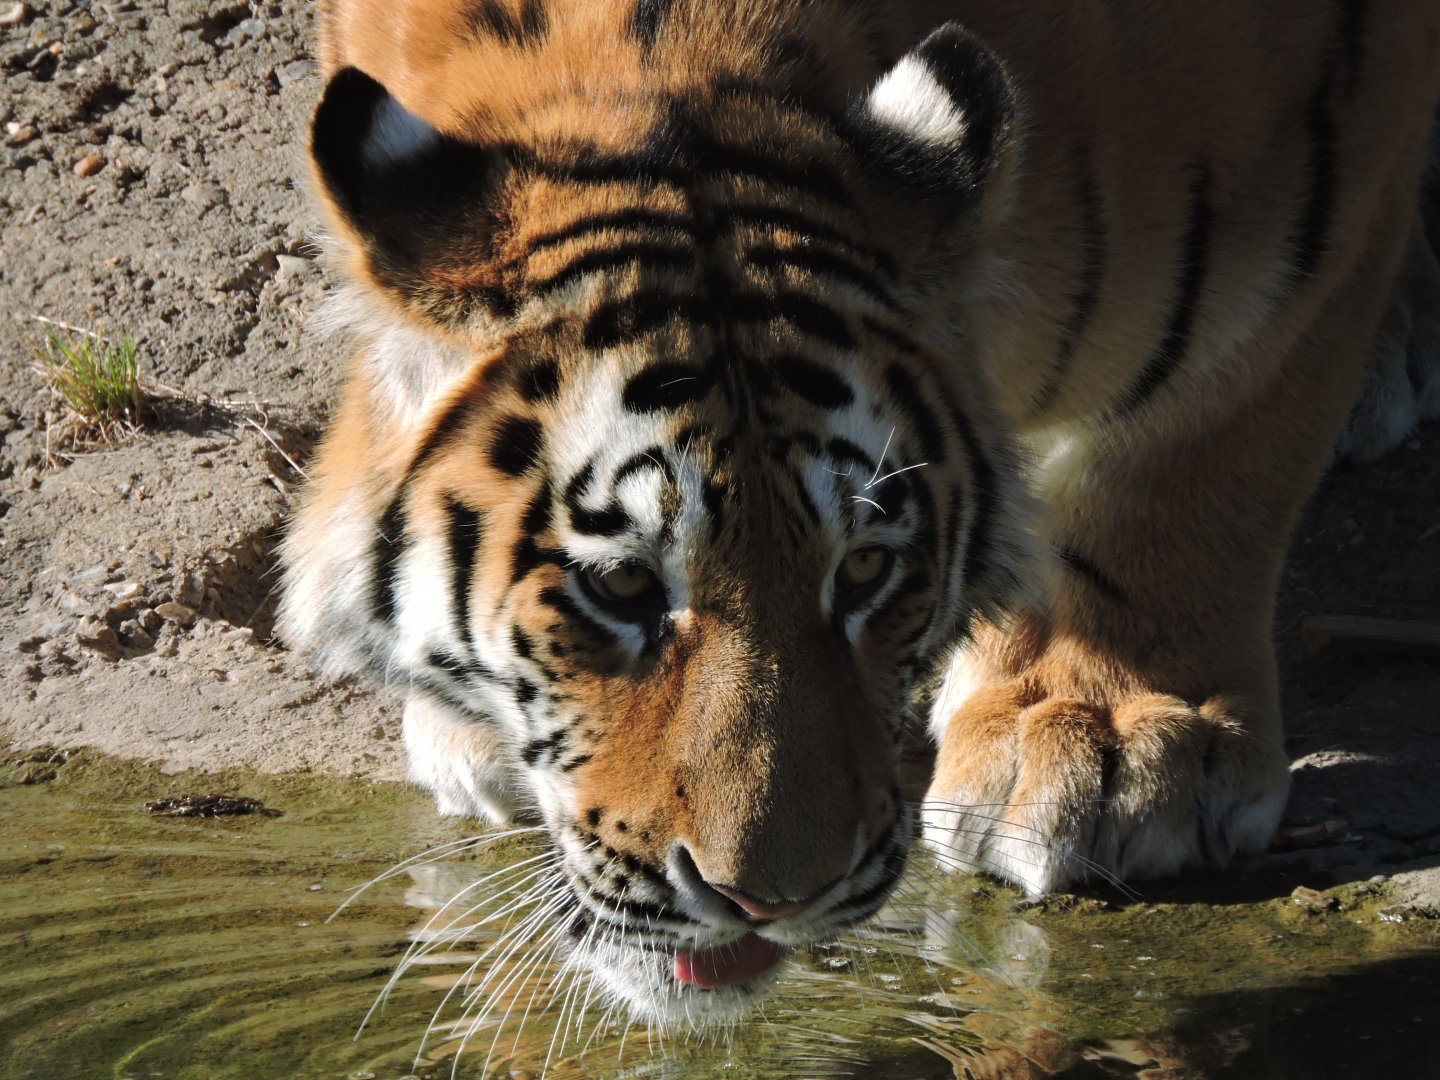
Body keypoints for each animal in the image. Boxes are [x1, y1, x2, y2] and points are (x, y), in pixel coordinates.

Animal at [280, 0, 1440, 1025]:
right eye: (621, 584)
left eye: (867, 571)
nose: (767, 901)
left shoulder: (1311, 211)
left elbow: (1200, 462)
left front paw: (1110, 740)